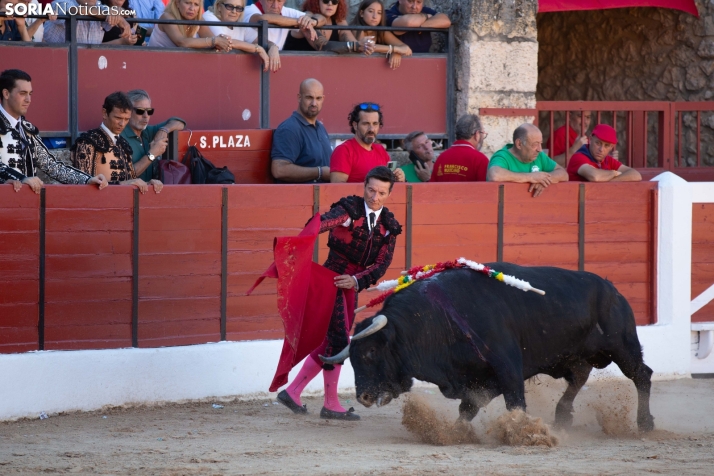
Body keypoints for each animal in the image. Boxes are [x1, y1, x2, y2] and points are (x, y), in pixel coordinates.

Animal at [348, 264, 652, 432]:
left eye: (371, 352)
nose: (363, 396)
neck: (437, 319)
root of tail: (613, 290)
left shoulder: (507, 367)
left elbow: (515, 402)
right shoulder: (479, 380)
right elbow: (468, 409)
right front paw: (455, 433)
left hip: (623, 347)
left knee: (642, 375)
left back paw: (645, 423)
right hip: (577, 356)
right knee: (578, 377)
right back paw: (562, 417)